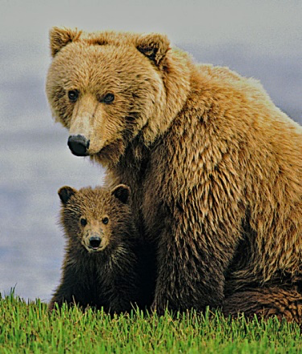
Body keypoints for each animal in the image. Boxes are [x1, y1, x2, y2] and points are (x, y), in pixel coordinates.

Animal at [45, 27, 302, 320]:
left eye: (109, 95)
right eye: (72, 92)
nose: (79, 141)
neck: (156, 134)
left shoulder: (203, 160)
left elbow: (193, 237)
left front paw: (173, 307)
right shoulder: (139, 179)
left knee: (255, 303)